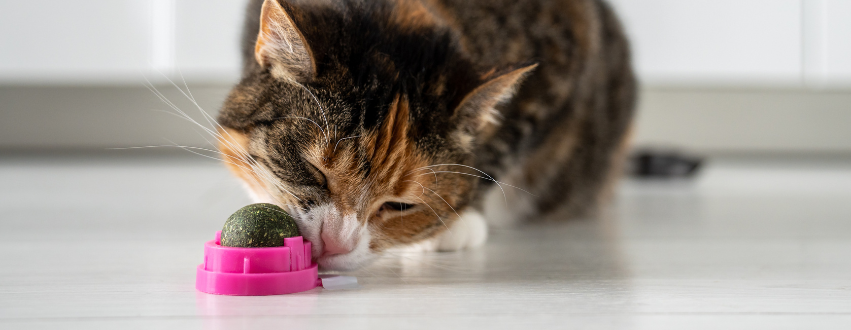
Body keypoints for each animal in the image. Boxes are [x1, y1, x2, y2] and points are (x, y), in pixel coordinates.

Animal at [216, 0, 636, 270]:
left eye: (400, 205)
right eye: (313, 171)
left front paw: (455, 225)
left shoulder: (562, 57)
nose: (335, 243)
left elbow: (498, 152)